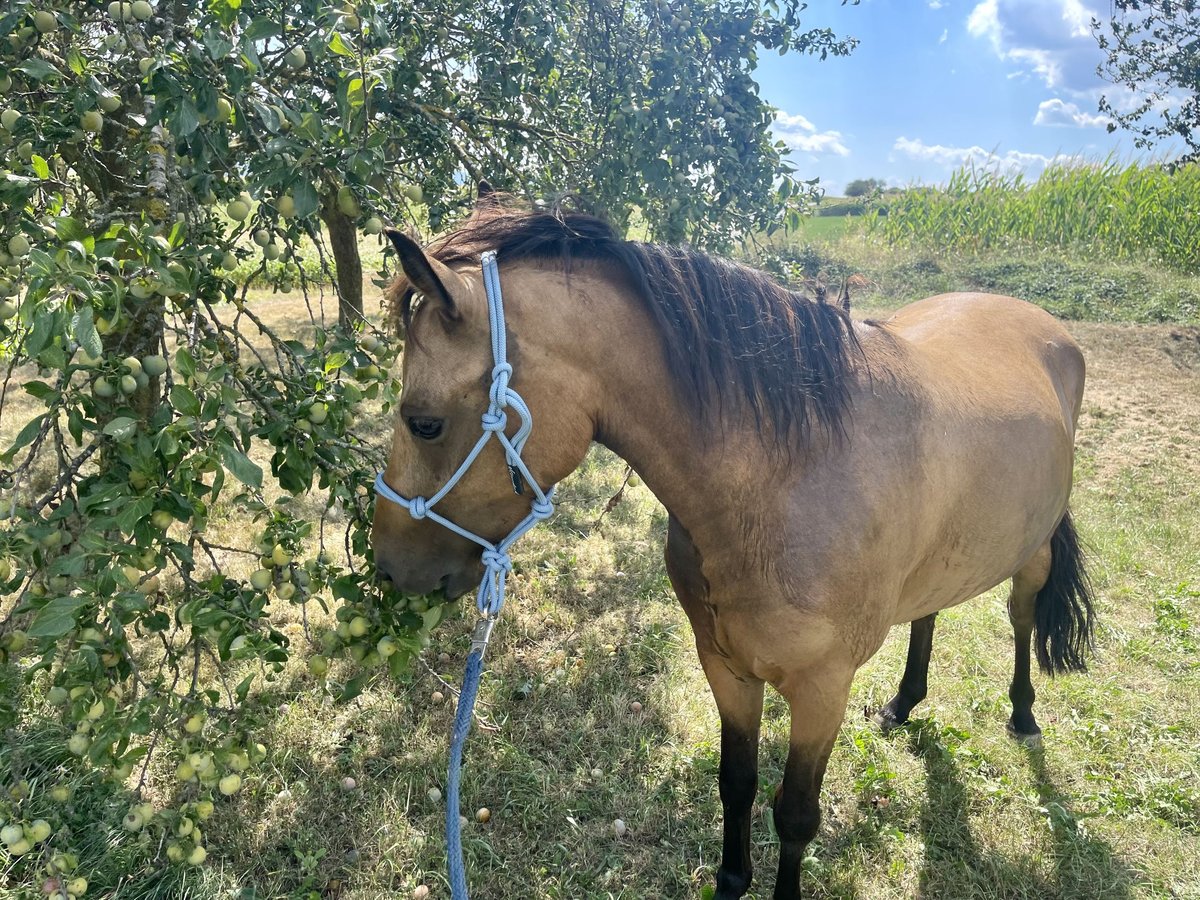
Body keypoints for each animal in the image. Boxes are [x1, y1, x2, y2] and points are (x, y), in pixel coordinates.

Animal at [371, 202, 1094, 900]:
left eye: (423, 422)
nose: (387, 566)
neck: (787, 476)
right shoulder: (725, 666)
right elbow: (737, 782)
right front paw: (730, 881)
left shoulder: (822, 691)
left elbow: (796, 814)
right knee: (930, 610)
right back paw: (904, 702)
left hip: (1031, 552)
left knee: (1022, 615)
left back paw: (1022, 712)